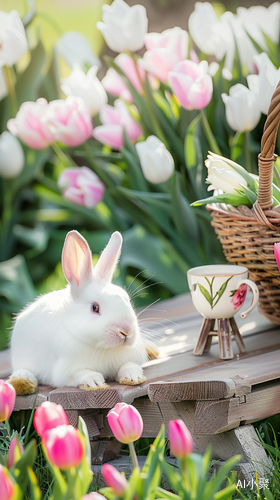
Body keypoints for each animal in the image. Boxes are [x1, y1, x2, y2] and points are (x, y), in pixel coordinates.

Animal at [7, 230, 148, 394]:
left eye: (127, 299)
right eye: (95, 308)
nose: (126, 331)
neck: (103, 348)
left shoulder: (130, 359)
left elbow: (129, 366)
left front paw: (133, 377)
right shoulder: (66, 372)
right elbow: (82, 373)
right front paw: (94, 382)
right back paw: (23, 382)